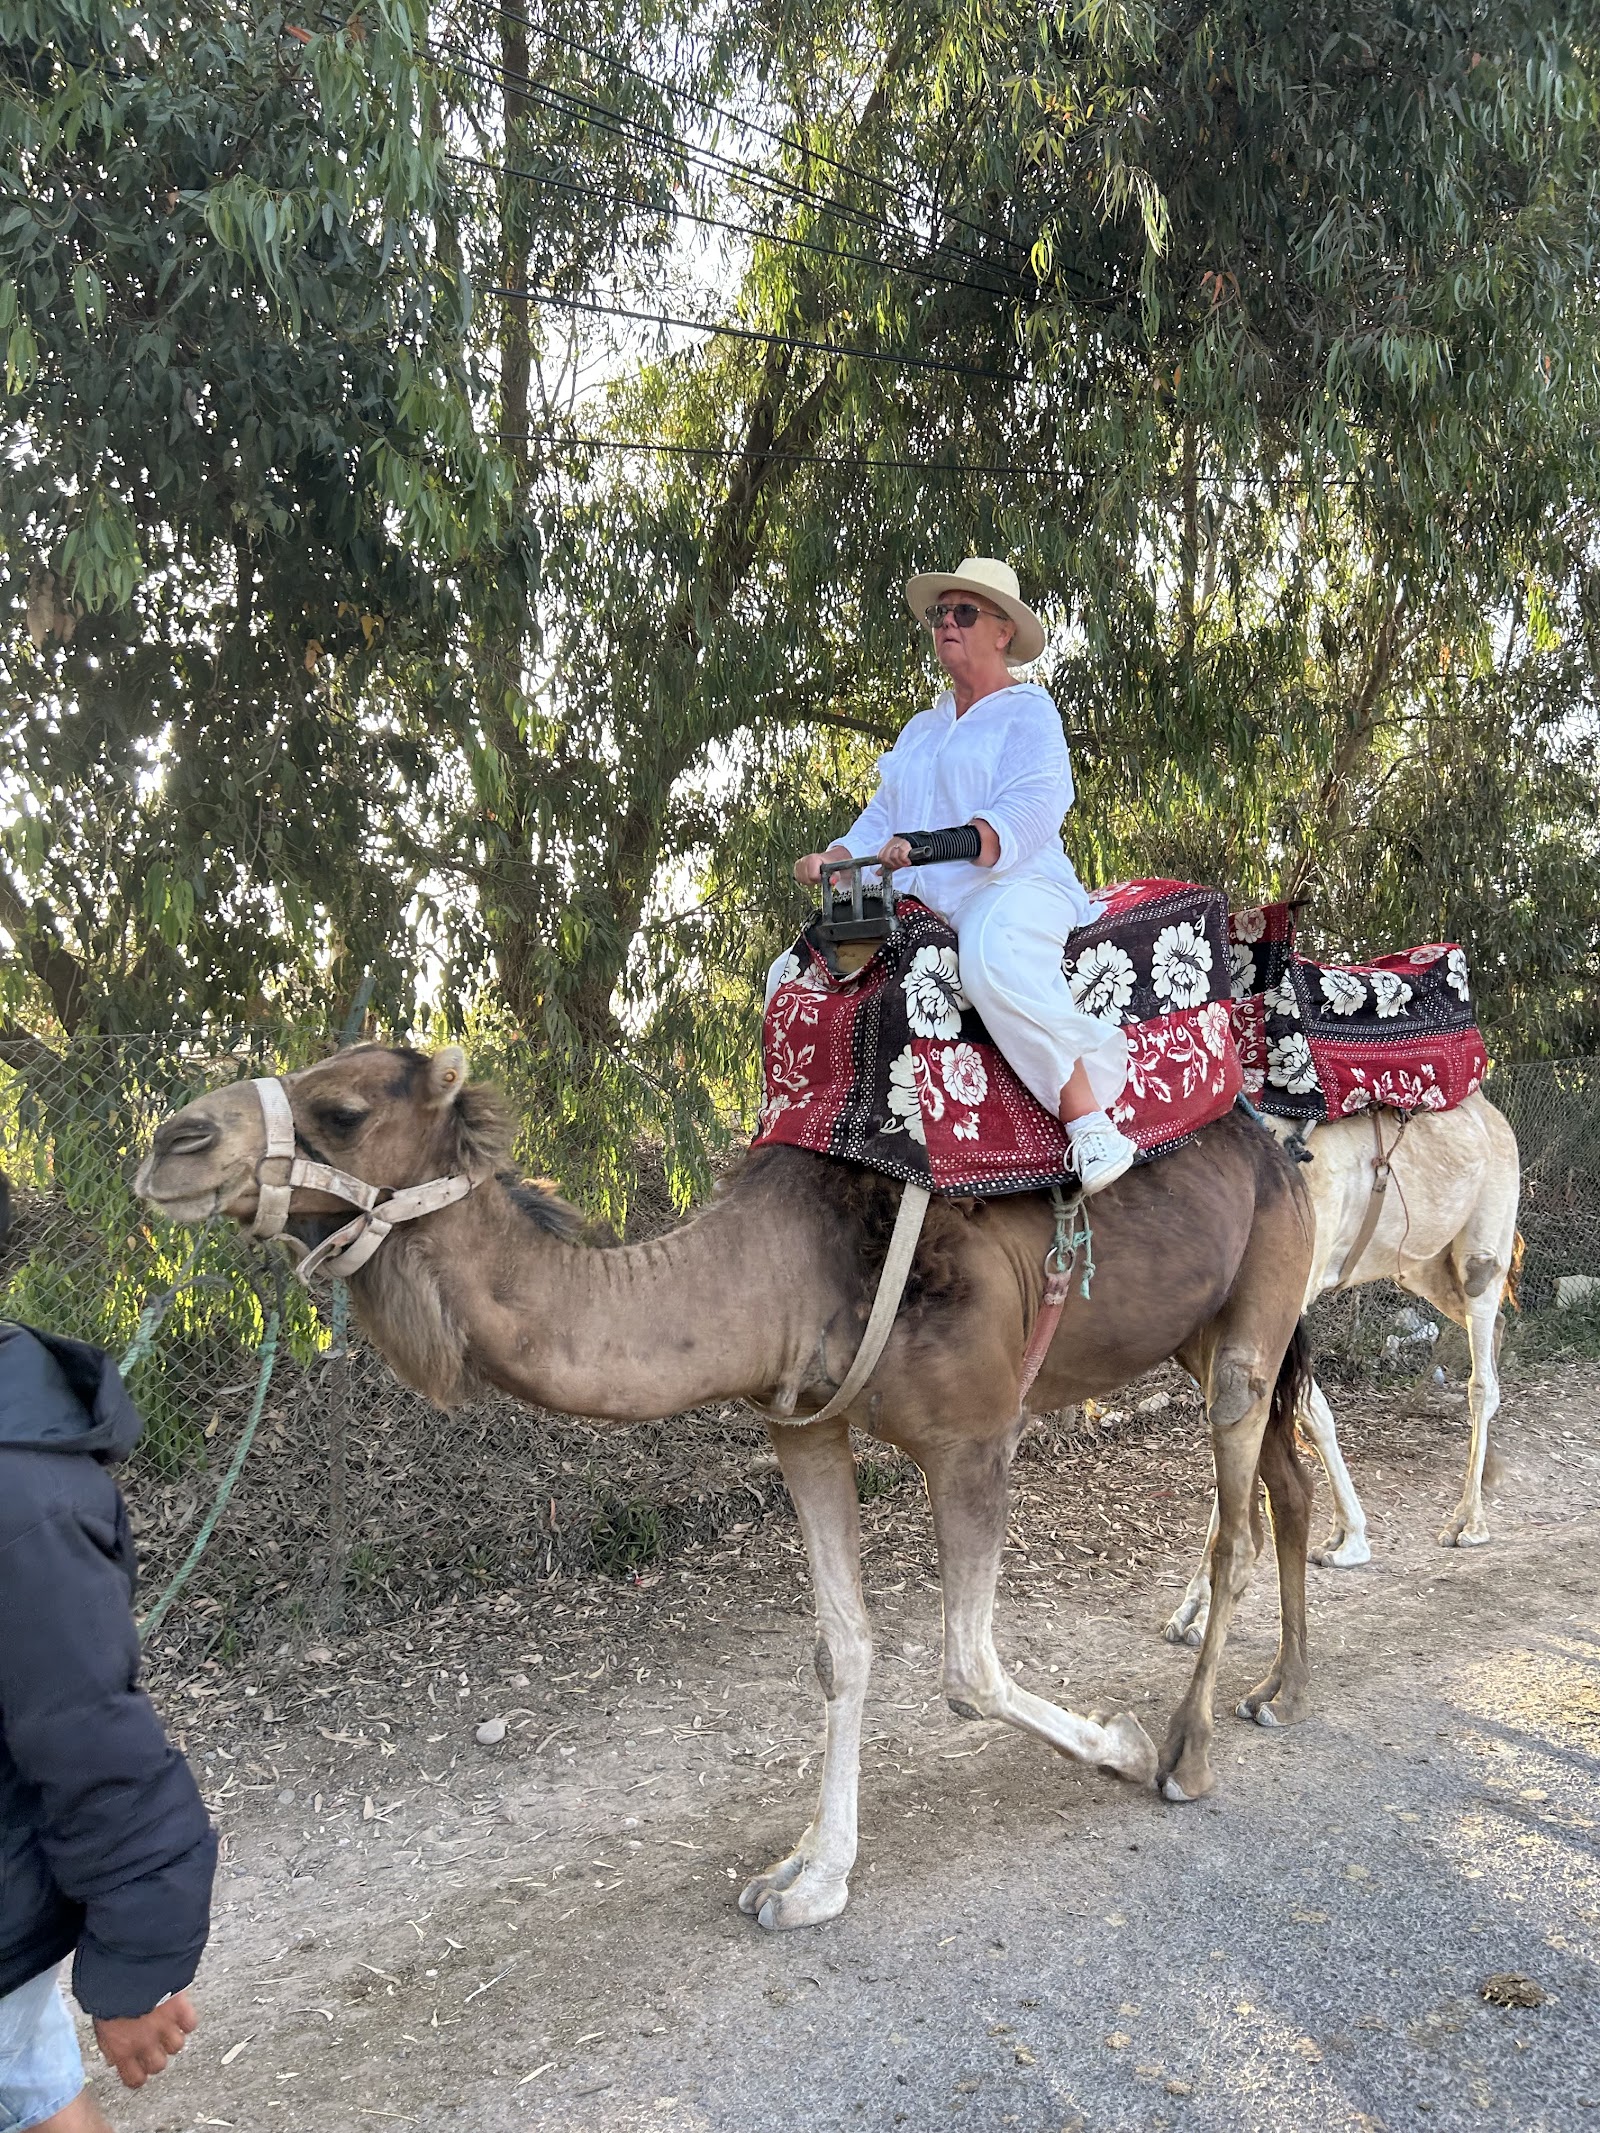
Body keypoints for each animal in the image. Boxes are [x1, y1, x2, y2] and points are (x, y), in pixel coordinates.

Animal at [136, 1043, 1317, 1930]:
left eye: (338, 1109)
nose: (168, 1142)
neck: (780, 1269)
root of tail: (1270, 1140)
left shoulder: (975, 1437)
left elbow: (968, 1669)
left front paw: (1119, 1745)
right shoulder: (806, 1427)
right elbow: (843, 1649)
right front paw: (809, 1877)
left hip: (1259, 1302)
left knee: (1235, 1526)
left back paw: (1186, 1753)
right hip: (1205, 1334)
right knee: (1284, 1480)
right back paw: (1279, 1692)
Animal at [1163, 1090, 1521, 1646]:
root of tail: (1496, 1118)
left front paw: (1197, 1613)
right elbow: (1310, 1412)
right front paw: (1347, 1538)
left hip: (1484, 1240)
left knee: (1482, 1375)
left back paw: (1468, 1522)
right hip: (1420, 1263)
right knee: (1493, 1322)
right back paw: (1488, 1476)